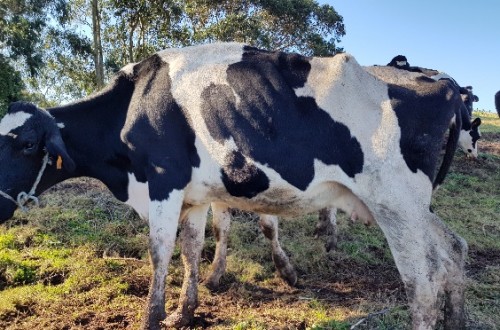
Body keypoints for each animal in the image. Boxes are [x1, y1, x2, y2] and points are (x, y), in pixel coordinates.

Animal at [1, 43, 466, 330]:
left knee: (423, 282)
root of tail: (442, 83)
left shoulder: (164, 182)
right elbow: (191, 249)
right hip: (413, 208)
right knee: (453, 251)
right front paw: (185, 313)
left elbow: (159, 251)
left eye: (26, 144)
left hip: (395, 204)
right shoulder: (194, 195)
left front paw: (152, 318)